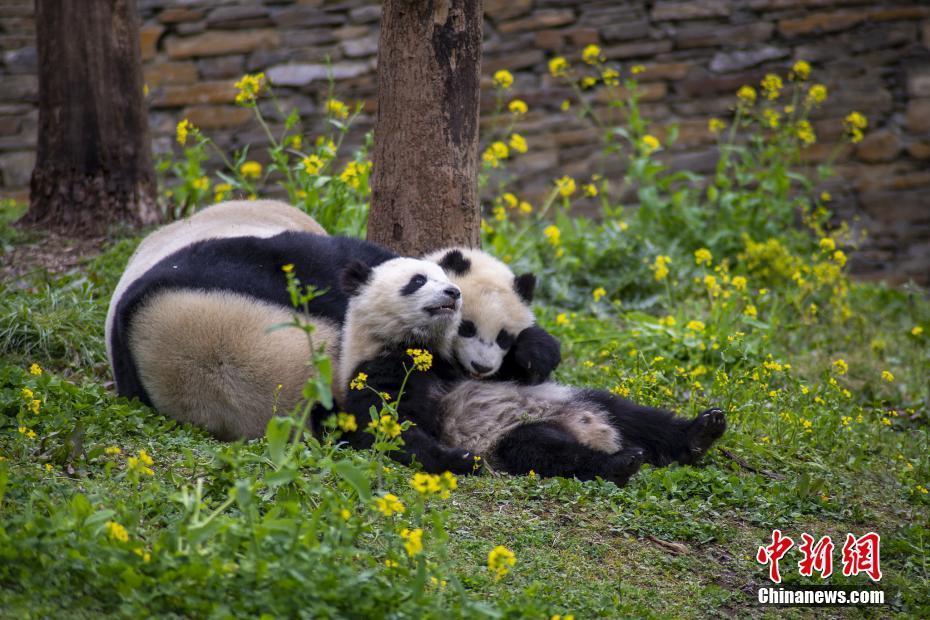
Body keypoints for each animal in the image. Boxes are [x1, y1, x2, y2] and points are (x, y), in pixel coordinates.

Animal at [338, 256, 728, 484]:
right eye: (418, 280)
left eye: (447, 279)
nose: (452, 292)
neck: (420, 345)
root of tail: (592, 428)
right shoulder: (379, 366)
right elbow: (384, 425)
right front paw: (457, 459)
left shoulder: (466, 365)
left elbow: (516, 370)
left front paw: (531, 351)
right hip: (505, 438)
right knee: (541, 450)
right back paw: (620, 462)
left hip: (578, 398)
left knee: (635, 416)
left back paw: (700, 432)